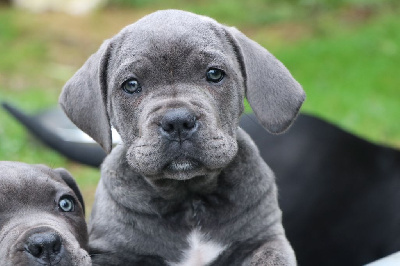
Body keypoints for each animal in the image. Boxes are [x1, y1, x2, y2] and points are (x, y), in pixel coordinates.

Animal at [59, 9, 304, 264]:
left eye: (214, 73)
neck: (189, 198)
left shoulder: (265, 240)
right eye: (131, 84)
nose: (177, 121)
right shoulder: (111, 251)